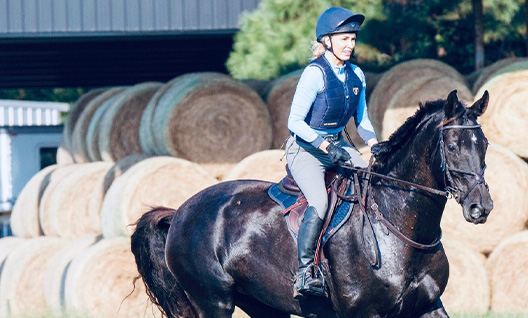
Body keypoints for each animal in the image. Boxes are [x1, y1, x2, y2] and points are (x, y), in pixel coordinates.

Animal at [131, 90, 490, 318]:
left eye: (484, 143)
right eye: (453, 146)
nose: (481, 207)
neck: (397, 226)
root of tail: (180, 213)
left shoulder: (428, 305)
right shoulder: (363, 312)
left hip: (264, 305)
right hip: (213, 302)